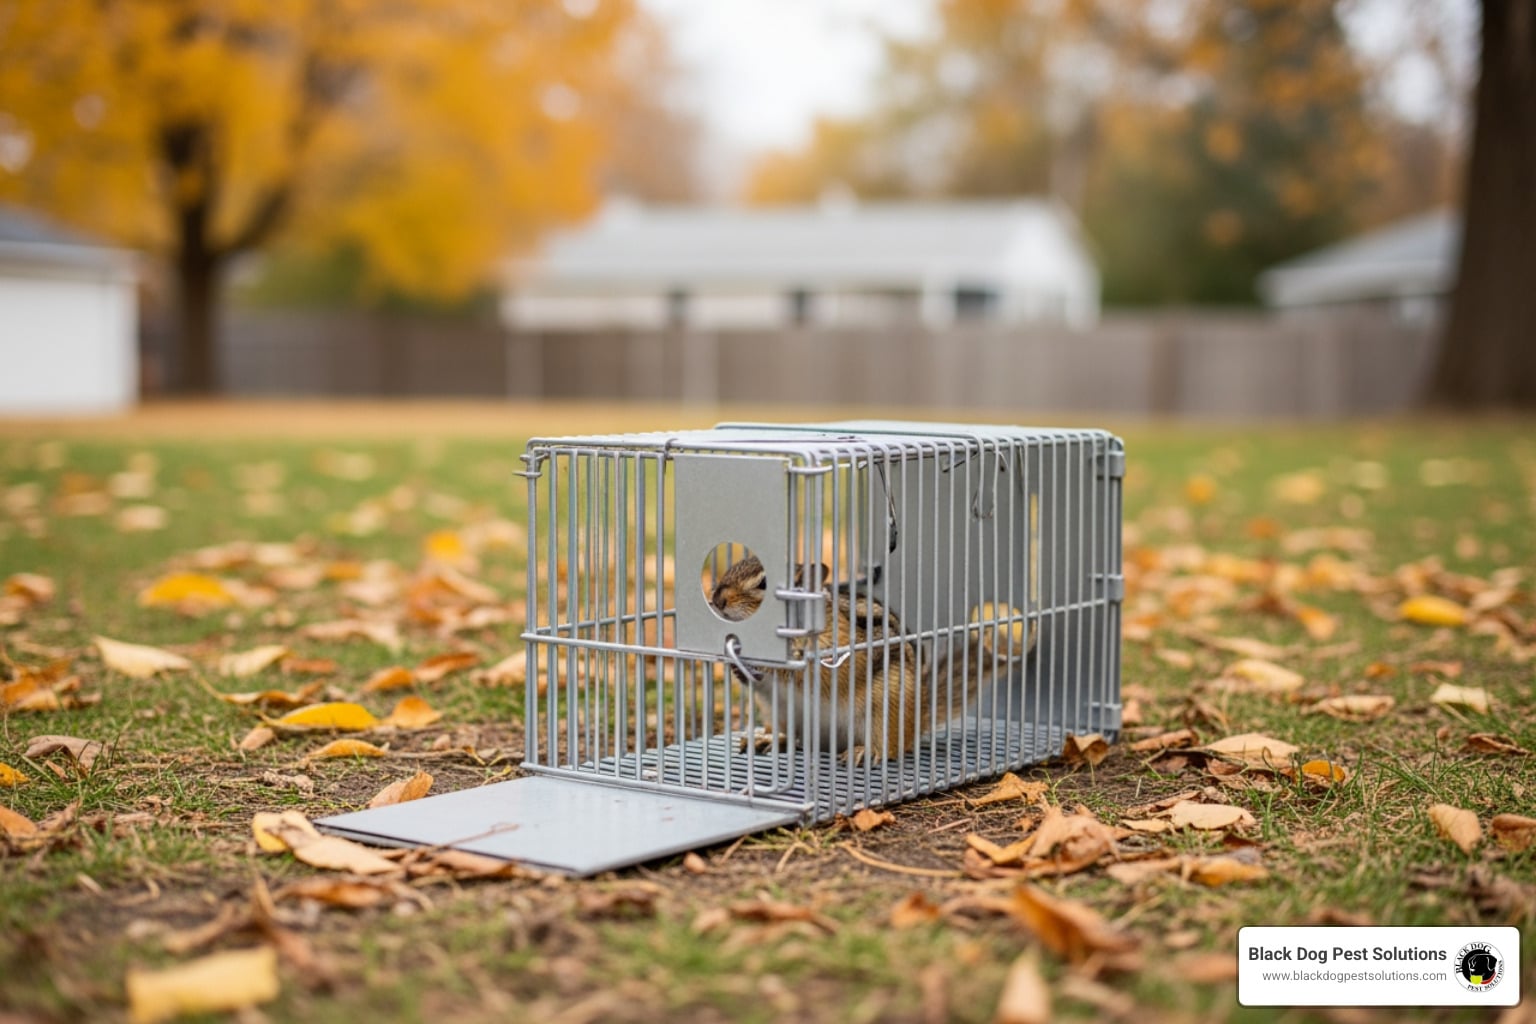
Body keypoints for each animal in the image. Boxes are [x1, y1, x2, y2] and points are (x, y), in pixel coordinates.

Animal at [709, 554, 1021, 762]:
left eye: (763, 584)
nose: (717, 600)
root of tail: (919, 714)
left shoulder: (833, 656)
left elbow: (806, 672)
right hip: (779, 712)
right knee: (794, 737)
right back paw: (772, 739)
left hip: (887, 707)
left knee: (893, 748)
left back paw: (865, 752)